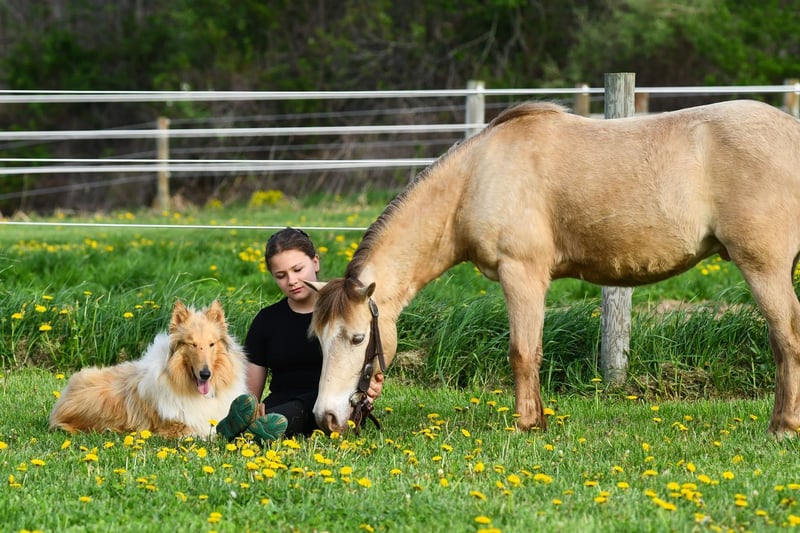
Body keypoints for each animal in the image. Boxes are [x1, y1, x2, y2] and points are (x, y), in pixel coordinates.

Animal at [308, 99, 800, 437]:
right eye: (319, 339)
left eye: (357, 338)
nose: (326, 417)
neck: (474, 179)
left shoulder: (521, 274)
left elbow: (523, 352)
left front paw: (528, 425)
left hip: (764, 267)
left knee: (786, 340)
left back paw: (781, 427)